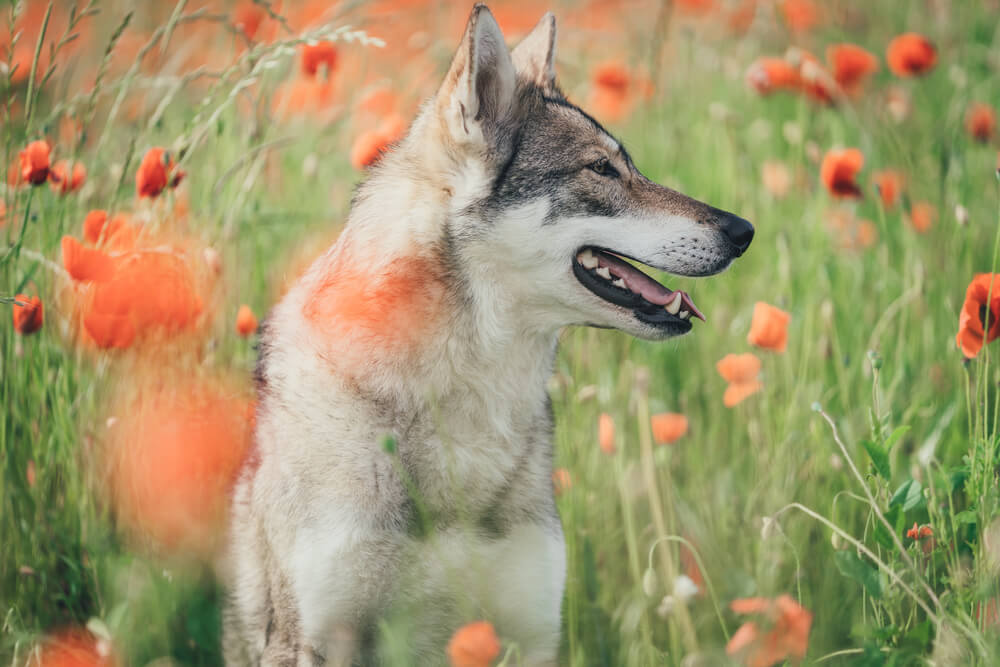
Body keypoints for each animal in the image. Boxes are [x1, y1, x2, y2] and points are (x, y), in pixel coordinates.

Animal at [222, 5, 752, 665]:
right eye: (602, 169)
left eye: (628, 165)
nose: (745, 230)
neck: (466, 409)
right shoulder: (317, 641)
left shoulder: (529, 633)